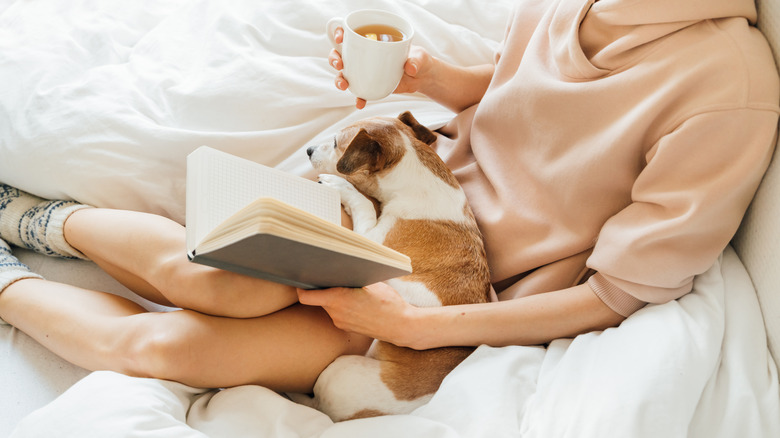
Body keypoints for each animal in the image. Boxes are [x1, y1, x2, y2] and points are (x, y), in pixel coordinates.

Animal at [296, 112, 490, 420]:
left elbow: (363, 204)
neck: (417, 180)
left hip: (337, 373)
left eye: (337, 143)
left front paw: (340, 186)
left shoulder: (371, 241)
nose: (308, 150)